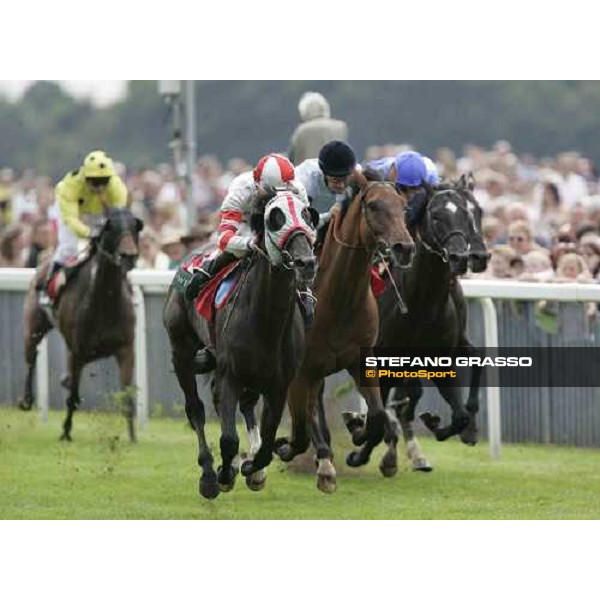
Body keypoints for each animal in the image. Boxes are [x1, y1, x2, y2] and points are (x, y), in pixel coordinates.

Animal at [19, 209, 143, 442]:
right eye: (111, 228)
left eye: (135, 227)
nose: (129, 255)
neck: (105, 300)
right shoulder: (77, 352)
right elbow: (73, 397)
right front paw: (65, 432)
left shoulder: (126, 349)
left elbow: (127, 395)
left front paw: (132, 437)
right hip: (34, 326)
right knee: (31, 358)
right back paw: (26, 400)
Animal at [159, 190, 318, 500]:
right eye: (274, 217)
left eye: (306, 214)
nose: (306, 262)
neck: (266, 320)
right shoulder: (229, 375)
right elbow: (228, 438)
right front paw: (223, 474)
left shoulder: (278, 384)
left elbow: (268, 442)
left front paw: (252, 467)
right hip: (181, 351)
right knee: (196, 408)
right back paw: (210, 472)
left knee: (243, 404)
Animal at [274, 175, 414, 492]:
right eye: (373, 205)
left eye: (403, 205)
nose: (405, 247)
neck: (340, 300)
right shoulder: (303, 369)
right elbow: (303, 423)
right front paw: (313, 458)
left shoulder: (360, 359)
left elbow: (377, 415)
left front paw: (358, 431)